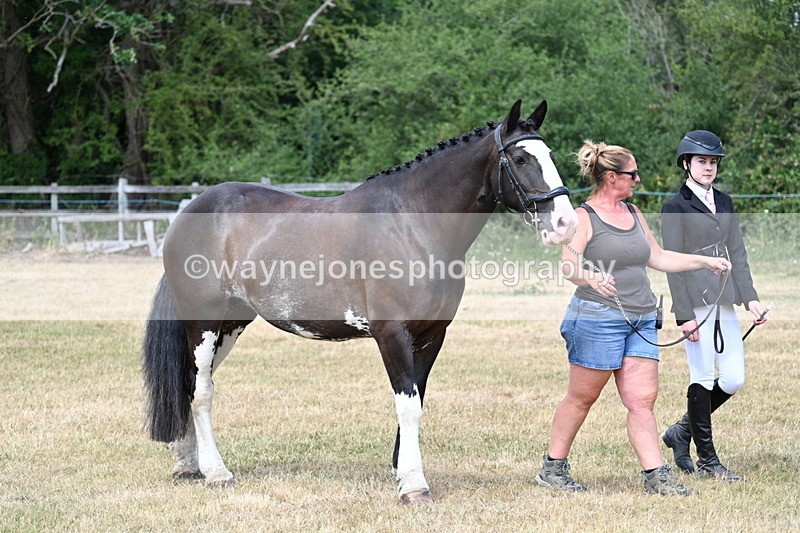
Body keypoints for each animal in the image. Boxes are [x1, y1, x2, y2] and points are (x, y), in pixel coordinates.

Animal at [142, 99, 578, 507]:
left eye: (551, 155)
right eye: (521, 159)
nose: (565, 224)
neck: (413, 224)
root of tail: (189, 212)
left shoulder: (431, 336)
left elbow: (417, 400)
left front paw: (402, 471)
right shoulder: (391, 335)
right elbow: (408, 406)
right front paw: (414, 486)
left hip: (231, 325)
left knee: (191, 383)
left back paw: (188, 464)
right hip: (203, 323)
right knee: (201, 390)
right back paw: (216, 472)